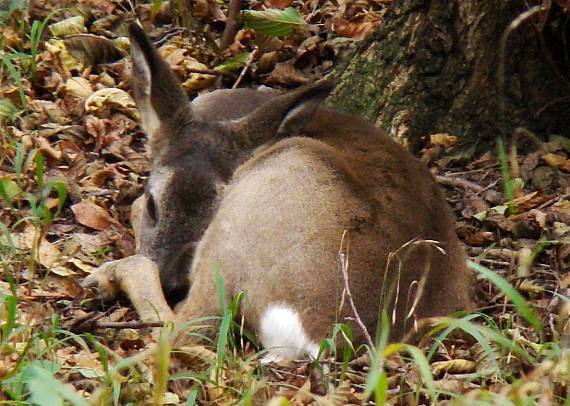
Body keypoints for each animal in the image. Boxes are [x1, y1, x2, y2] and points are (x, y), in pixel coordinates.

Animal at [82, 23, 472, 364]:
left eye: (213, 209)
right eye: (155, 205)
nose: (172, 282)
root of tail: (320, 338)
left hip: (264, 194)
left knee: (188, 324)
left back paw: (104, 279)